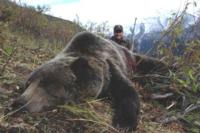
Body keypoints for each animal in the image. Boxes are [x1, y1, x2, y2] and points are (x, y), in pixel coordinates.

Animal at [10, 31, 170, 131]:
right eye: (28, 84)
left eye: (47, 83)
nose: (19, 102)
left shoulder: (111, 67)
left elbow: (128, 91)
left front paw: (124, 123)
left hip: (133, 60)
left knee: (151, 63)